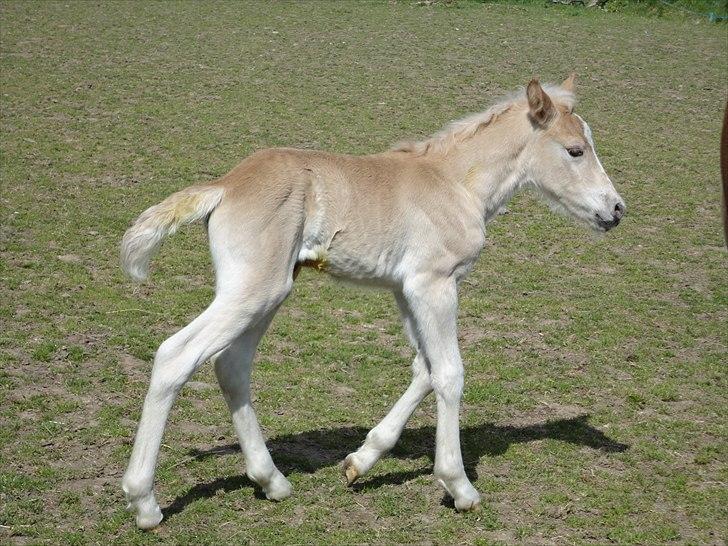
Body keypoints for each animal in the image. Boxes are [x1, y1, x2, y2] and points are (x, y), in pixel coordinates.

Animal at [119, 76, 624, 528]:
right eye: (575, 150)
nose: (616, 210)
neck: (455, 182)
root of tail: (225, 185)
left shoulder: (405, 289)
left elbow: (424, 367)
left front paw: (361, 461)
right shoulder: (433, 284)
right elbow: (449, 373)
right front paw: (458, 485)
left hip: (268, 293)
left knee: (232, 365)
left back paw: (272, 481)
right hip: (253, 290)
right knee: (176, 355)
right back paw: (144, 502)